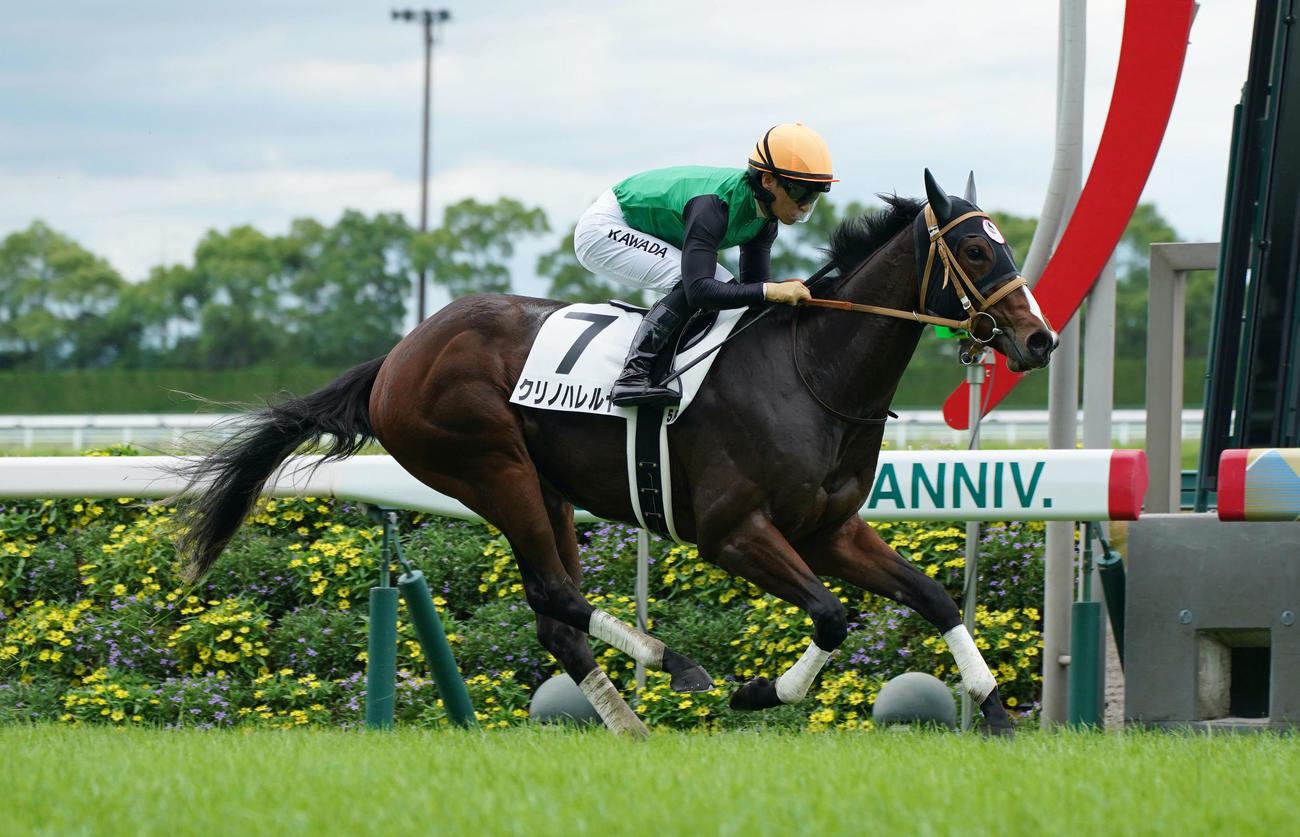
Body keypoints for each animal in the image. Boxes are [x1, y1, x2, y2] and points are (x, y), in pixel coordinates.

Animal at [173, 171, 1057, 737]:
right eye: (976, 252)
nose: (1039, 339)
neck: (812, 372)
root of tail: (395, 356)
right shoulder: (732, 533)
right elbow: (835, 616)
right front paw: (757, 690)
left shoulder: (830, 530)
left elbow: (933, 597)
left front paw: (996, 710)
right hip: (490, 466)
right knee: (556, 593)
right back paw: (676, 665)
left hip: (547, 487)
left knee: (554, 616)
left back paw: (632, 725)